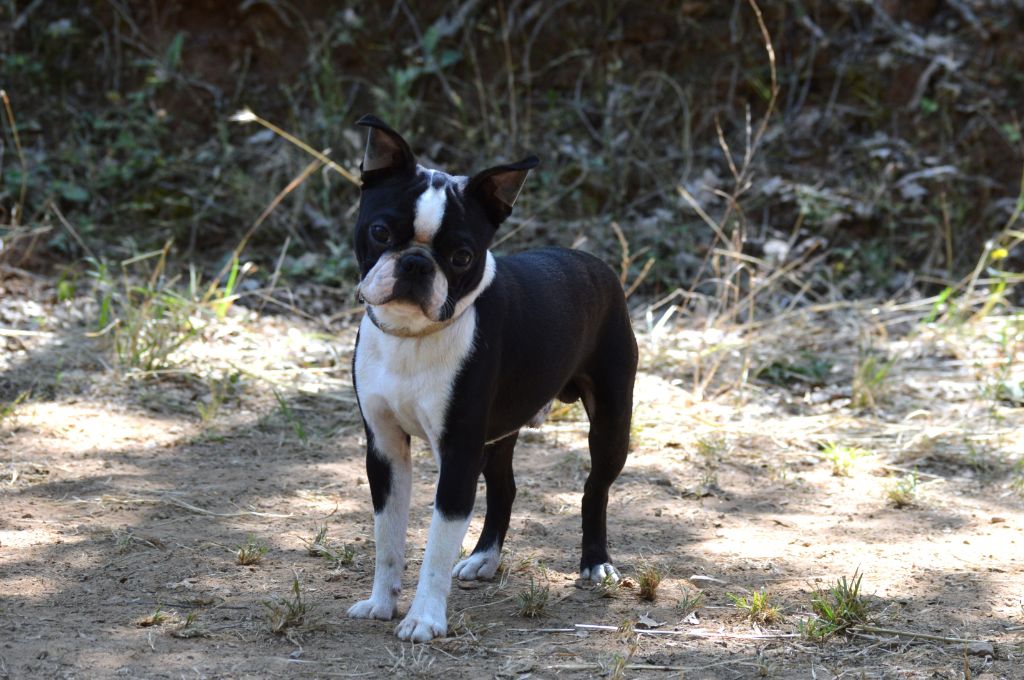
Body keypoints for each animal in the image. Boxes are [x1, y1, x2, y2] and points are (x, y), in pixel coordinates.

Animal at [346, 115, 638, 641]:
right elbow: (388, 537)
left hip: (611, 421)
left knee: (595, 489)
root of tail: (591, 261)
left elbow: (437, 546)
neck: (413, 337)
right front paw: (381, 603)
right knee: (505, 487)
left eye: (462, 256)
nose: (416, 262)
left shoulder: (459, 453)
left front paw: (424, 619)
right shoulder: (385, 448)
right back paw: (484, 558)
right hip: (499, 436)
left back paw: (595, 563)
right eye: (380, 231)